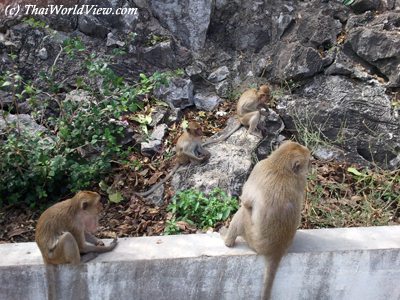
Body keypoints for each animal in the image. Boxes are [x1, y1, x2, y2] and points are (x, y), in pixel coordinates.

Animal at [223, 141, 310, 300]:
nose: (310, 167)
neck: (281, 167)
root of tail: (277, 250)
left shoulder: (259, 167)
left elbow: (246, 200)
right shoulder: (301, 180)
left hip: (251, 238)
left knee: (243, 212)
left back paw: (228, 241)